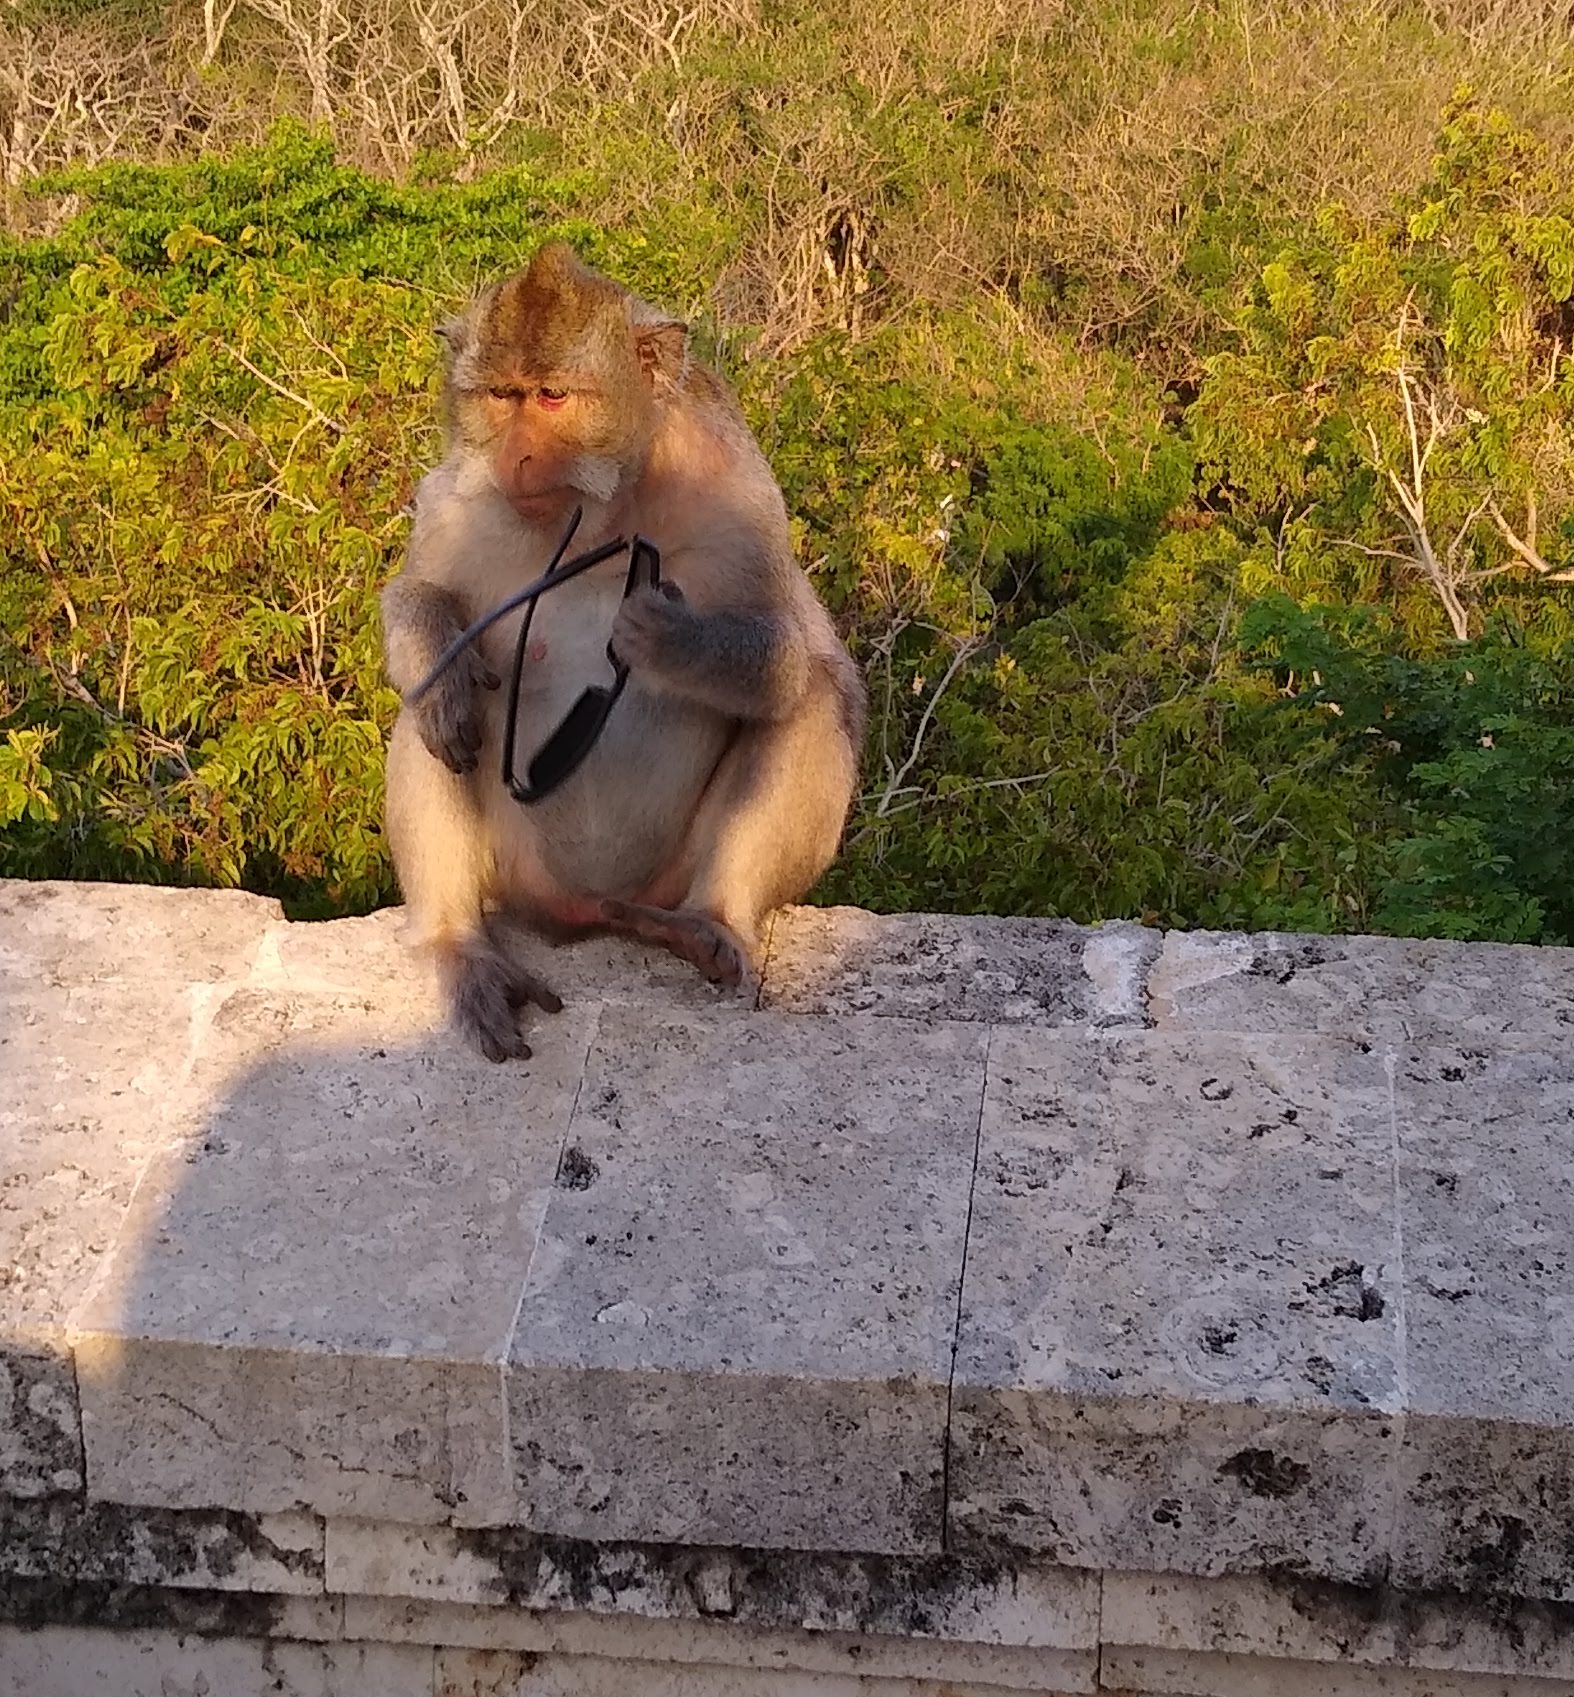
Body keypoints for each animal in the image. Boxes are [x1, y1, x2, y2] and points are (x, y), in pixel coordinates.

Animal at [385, 242, 875, 1058]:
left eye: (553, 397)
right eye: (502, 395)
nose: (517, 456)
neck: (605, 516)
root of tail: (588, 913)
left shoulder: (735, 482)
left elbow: (784, 649)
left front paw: (661, 633)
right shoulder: (458, 496)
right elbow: (418, 598)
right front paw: (441, 663)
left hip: (667, 879)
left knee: (814, 693)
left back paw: (711, 922)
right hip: (514, 874)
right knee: (426, 717)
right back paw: (460, 942)